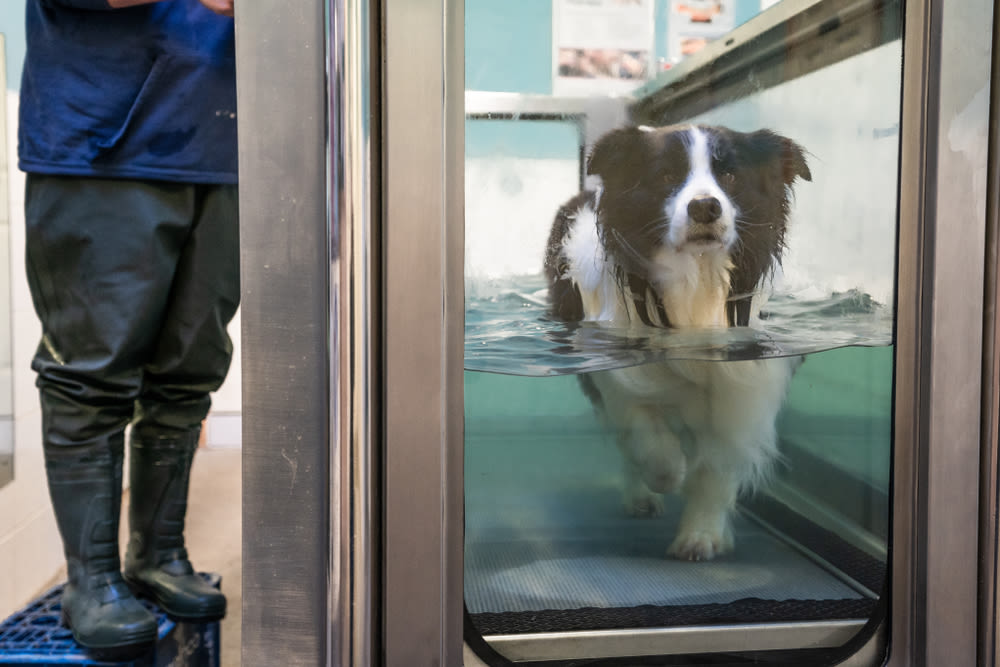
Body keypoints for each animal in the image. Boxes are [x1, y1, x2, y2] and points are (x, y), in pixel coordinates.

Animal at [548, 124, 812, 560]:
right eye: (667, 176)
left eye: (730, 176)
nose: (705, 208)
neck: (696, 279)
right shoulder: (613, 367)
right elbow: (645, 432)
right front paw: (669, 476)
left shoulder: (744, 386)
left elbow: (718, 464)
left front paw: (701, 535)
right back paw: (641, 496)